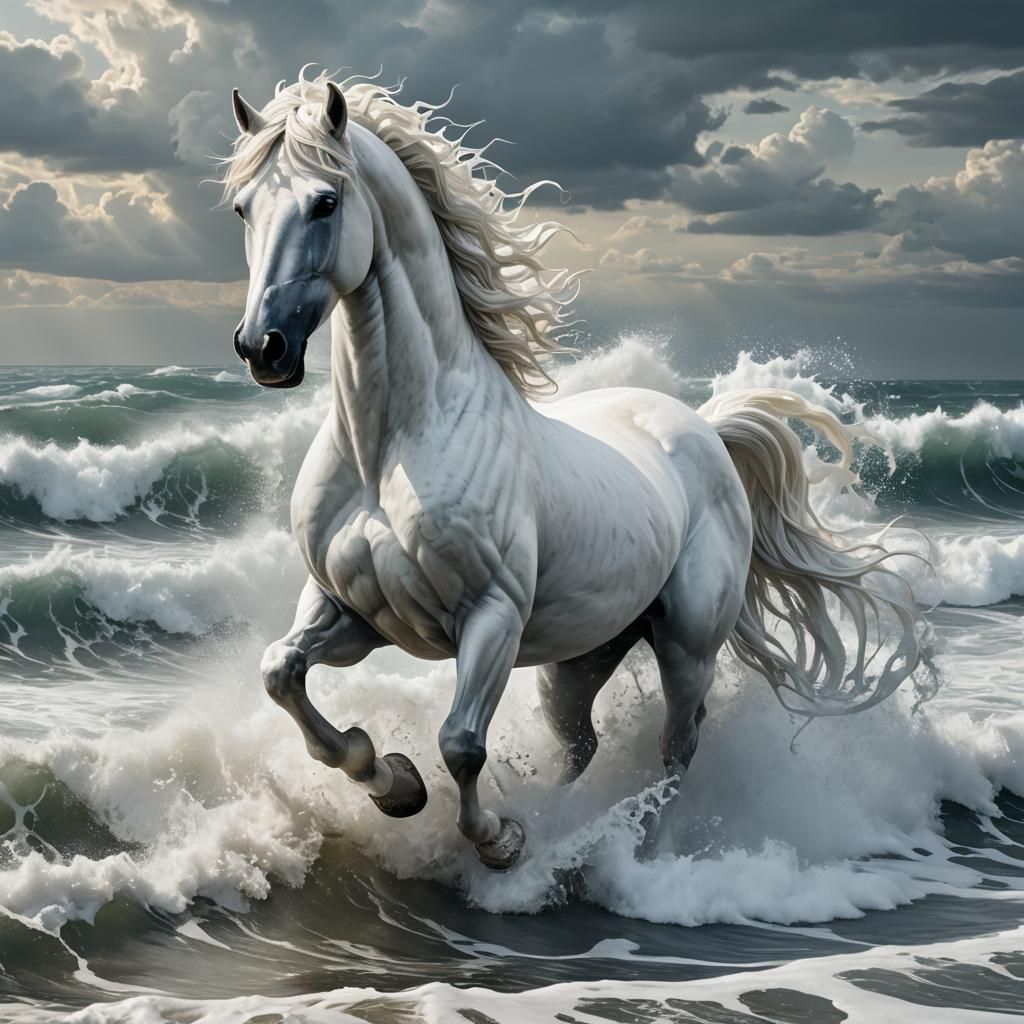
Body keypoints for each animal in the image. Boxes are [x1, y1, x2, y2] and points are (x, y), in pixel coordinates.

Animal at [222, 72, 928, 870]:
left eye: (325, 202)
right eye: (244, 208)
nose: (263, 348)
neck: (393, 449)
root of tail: (706, 429)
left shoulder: (491, 619)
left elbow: (460, 744)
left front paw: (501, 840)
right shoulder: (351, 612)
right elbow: (282, 673)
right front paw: (394, 783)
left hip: (687, 645)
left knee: (678, 747)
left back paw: (638, 847)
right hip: (580, 660)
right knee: (580, 747)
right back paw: (569, 821)